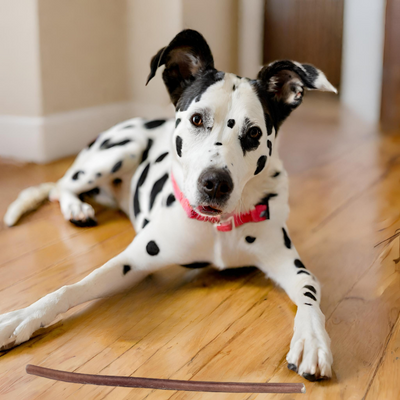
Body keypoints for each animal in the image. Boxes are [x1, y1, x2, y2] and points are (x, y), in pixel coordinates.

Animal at [0, 29, 338, 380]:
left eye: (255, 133)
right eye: (197, 119)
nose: (215, 183)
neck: (217, 228)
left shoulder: (293, 267)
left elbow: (309, 297)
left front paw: (312, 339)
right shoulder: (130, 261)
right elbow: (74, 287)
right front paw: (22, 317)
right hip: (120, 151)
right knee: (60, 187)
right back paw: (75, 208)